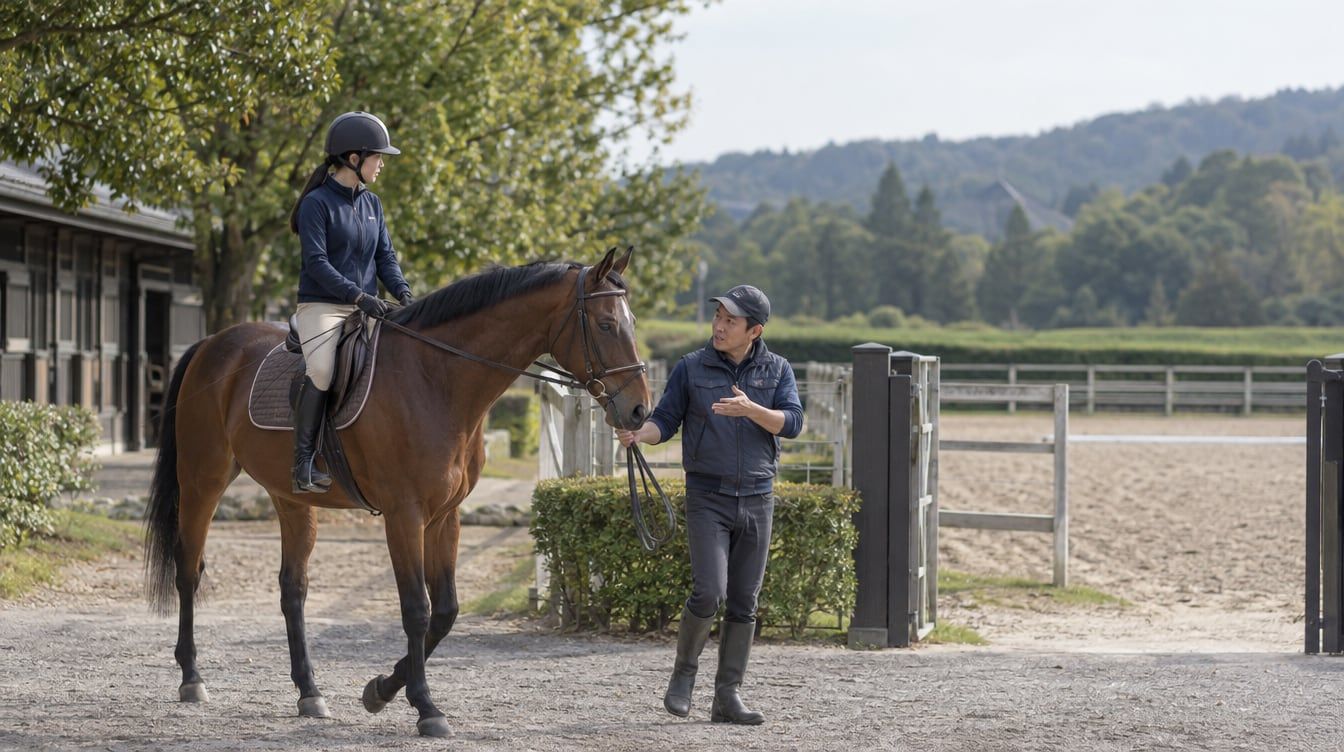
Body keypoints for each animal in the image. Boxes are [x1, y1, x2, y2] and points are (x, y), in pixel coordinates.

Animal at [142, 247, 650, 737]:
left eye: (631, 323)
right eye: (606, 324)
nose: (640, 410)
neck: (436, 379)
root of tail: (213, 343)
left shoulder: (445, 516)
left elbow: (445, 611)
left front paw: (381, 690)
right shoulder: (404, 514)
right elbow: (416, 609)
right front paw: (425, 707)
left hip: (291, 498)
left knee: (293, 589)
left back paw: (310, 693)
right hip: (202, 480)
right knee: (188, 571)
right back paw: (192, 679)